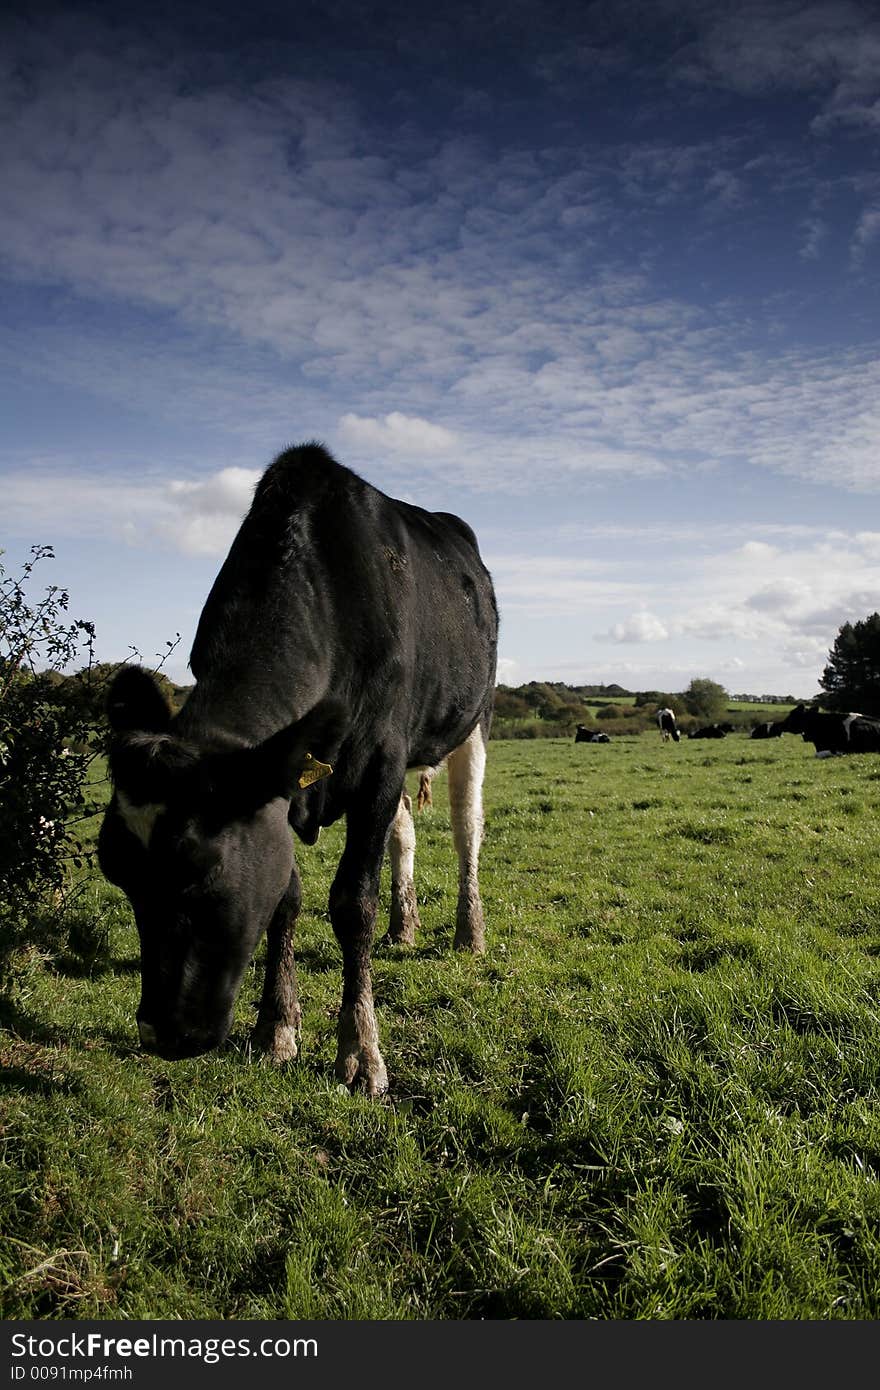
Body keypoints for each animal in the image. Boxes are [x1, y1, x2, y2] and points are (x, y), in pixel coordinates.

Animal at [98, 444, 497, 1095]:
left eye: (202, 868)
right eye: (117, 872)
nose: (162, 1034)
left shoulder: (382, 759)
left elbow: (351, 903)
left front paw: (360, 1052)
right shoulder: (281, 787)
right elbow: (285, 896)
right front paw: (275, 1027)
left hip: (474, 720)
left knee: (468, 828)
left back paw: (469, 932)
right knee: (407, 830)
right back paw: (404, 925)